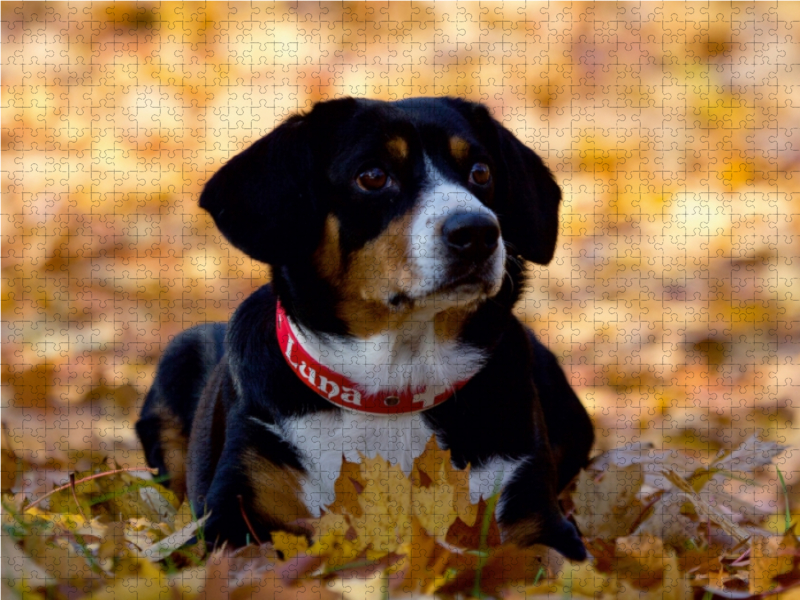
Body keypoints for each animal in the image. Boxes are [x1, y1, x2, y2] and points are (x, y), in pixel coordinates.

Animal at [136, 96, 592, 560]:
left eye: (481, 172)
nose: (477, 231)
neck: (393, 386)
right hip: (178, 355)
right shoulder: (233, 516)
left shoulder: (535, 516)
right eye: (372, 176)